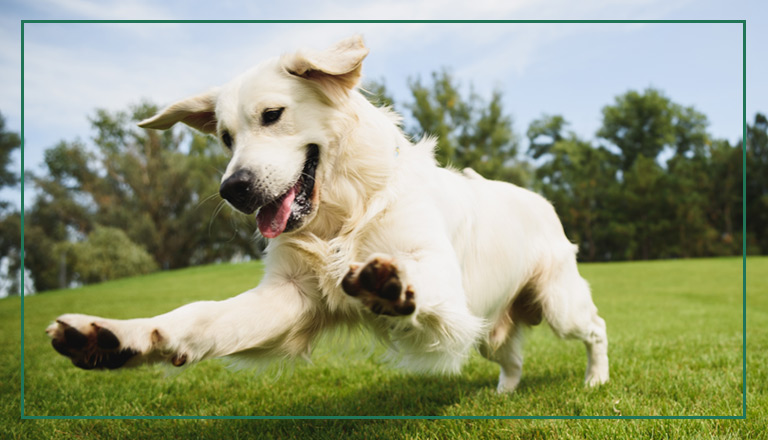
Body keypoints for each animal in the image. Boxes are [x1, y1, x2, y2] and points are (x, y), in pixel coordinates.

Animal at [49, 35, 612, 392]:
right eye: (226, 137)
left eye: (272, 115)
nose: (233, 189)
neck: (343, 215)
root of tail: (540, 199)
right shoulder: (288, 297)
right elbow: (197, 317)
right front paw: (116, 337)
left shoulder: (447, 289)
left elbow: (417, 277)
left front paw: (389, 284)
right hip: (489, 328)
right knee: (510, 357)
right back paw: (502, 393)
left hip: (559, 304)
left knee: (597, 326)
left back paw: (596, 379)